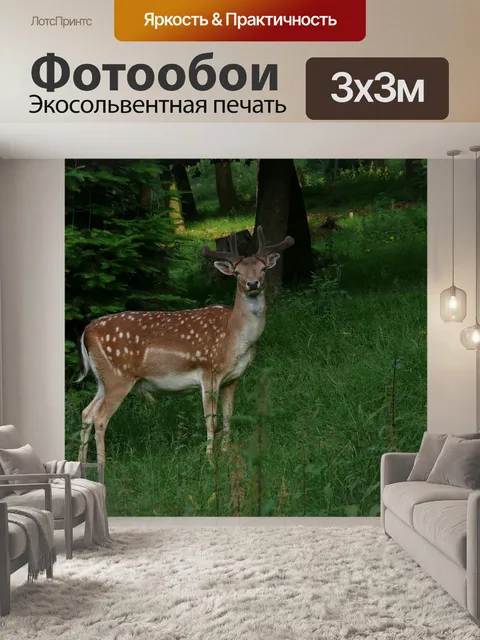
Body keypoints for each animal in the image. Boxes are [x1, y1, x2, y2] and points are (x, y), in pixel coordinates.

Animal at [76, 226, 294, 465]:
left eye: (263, 269)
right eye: (237, 273)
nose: (252, 284)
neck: (234, 335)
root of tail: (87, 331)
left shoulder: (233, 378)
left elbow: (228, 415)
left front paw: (226, 452)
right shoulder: (210, 371)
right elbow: (211, 419)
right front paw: (210, 459)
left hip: (103, 378)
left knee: (86, 413)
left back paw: (81, 462)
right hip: (118, 377)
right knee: (99, 417)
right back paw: (102, 464)